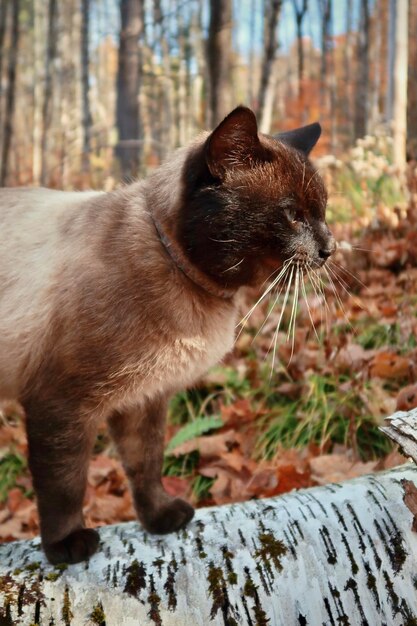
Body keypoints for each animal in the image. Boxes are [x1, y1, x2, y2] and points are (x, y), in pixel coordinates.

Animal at [0, 105, 334, 564]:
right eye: (293, 215)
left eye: (323, 212)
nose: (330, 248)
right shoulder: (61, 404)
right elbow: (64, 485)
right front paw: (67, 546)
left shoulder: (143, 400)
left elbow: (146, 466)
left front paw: (161, 519)